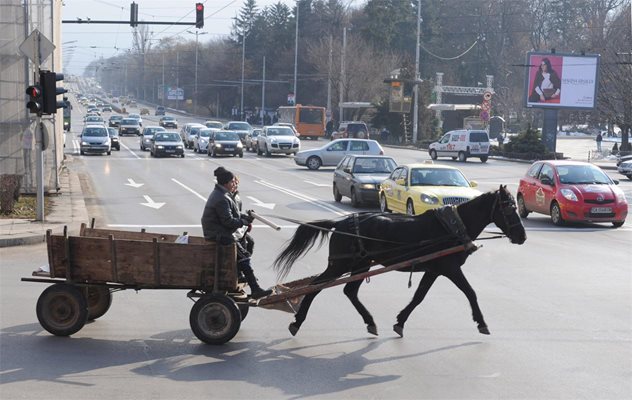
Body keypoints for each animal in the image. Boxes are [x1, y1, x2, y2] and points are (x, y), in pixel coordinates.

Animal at [274, 184, 524, 338]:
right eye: (509, 208)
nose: (522, 236)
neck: (452, 226)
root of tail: (340, 223)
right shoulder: (449, 268)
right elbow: (470, 292)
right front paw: (481, 322)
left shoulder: (434, 270)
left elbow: (419, 296)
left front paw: (400, 321)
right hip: (340, 264)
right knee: (315, 286)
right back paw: (297, 321)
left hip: (361, 264)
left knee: (350, 291)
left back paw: (370, 321)